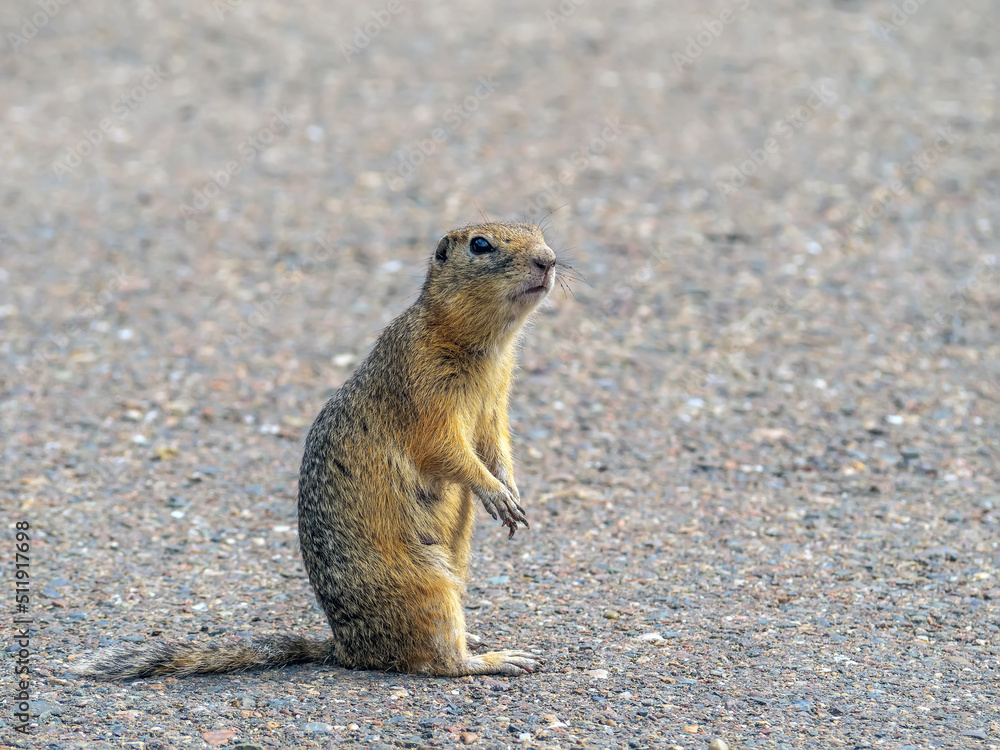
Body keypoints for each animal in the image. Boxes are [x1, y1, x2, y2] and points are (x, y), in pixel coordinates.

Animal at [76, 219, 564, 680]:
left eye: (537, 232)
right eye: (480, 245)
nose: (549, 259)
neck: (486, 346)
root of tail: (345, 649)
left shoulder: (495, 405)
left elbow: (496, 448)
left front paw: (511, 490)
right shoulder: (424, 393)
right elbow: (448, 452)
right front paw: (496, 495)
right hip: (427, 589)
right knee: (439, 663)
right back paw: (497, 658)